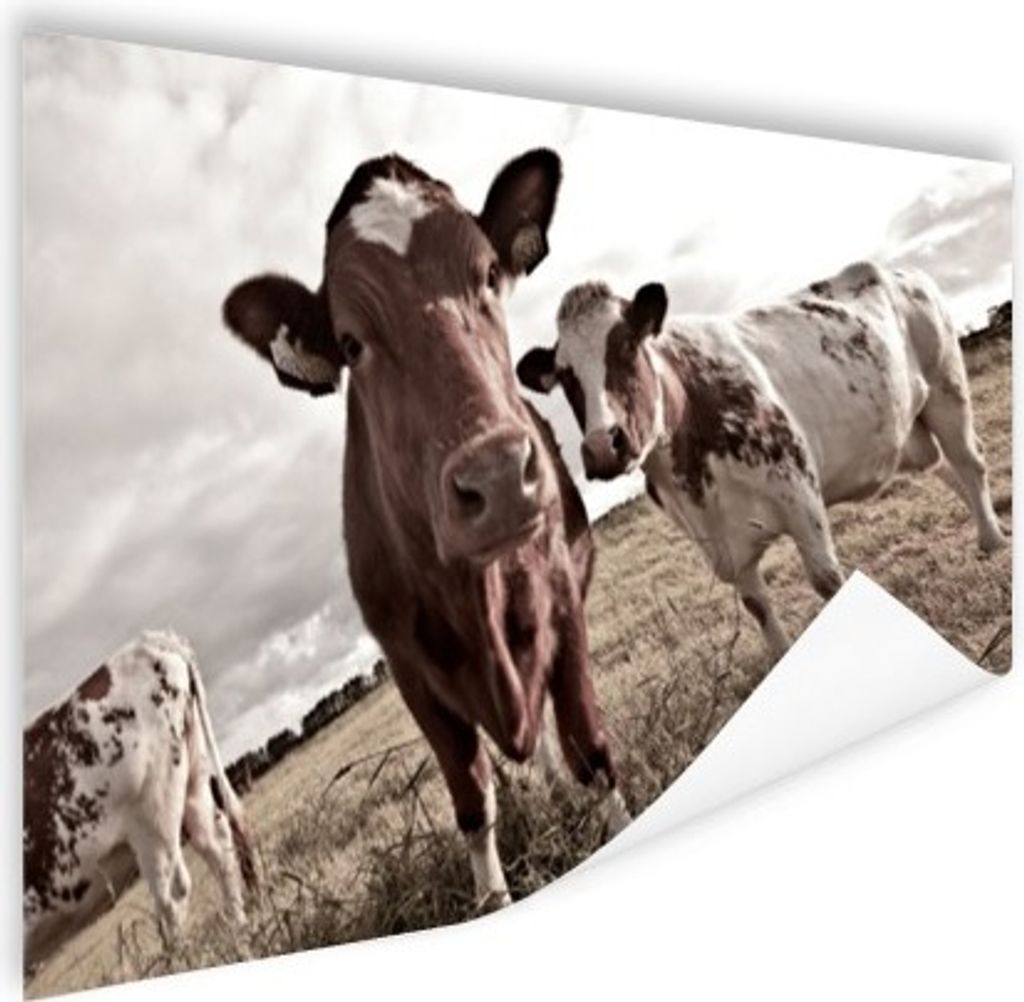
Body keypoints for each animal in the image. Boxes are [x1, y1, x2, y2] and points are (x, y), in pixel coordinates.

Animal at [23, 630, 258, 971]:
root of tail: (150, 643)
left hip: (151, 819)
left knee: (173, 897)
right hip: (194, 785)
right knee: (220, 847)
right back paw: (241, 939)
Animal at [221, 149, 629, 910]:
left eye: (490, 276)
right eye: (350, 342)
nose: (497, 478)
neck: (473, 595)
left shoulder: (564, 609)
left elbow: (591, 753)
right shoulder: (410, 673)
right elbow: (473, 803)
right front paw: (493, 895)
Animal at [517, 261, 1007, 658]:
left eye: (626, 345)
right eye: (565, 376)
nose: (603, 446)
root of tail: (899, 270)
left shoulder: (799, 494)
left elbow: (827, 581)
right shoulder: (716, 543)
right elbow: (755, 606)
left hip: (946, 386)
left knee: (970, 461)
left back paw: (993, 540)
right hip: (911, 428)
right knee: (943, 465)